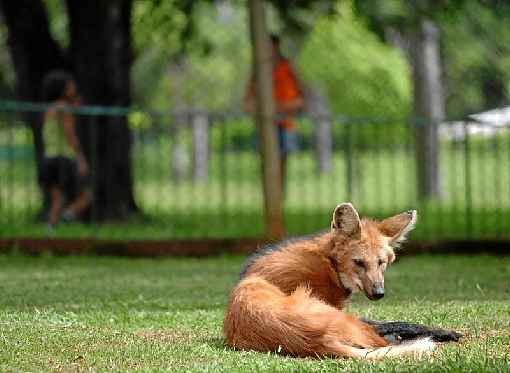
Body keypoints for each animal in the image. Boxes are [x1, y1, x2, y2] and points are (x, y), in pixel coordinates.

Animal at [224, 202, 438, 358]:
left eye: (381, 262)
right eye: (358, 262)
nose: (379, 293)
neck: (330, 266)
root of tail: (317, 341)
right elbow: (394, 325)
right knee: (380, 340)